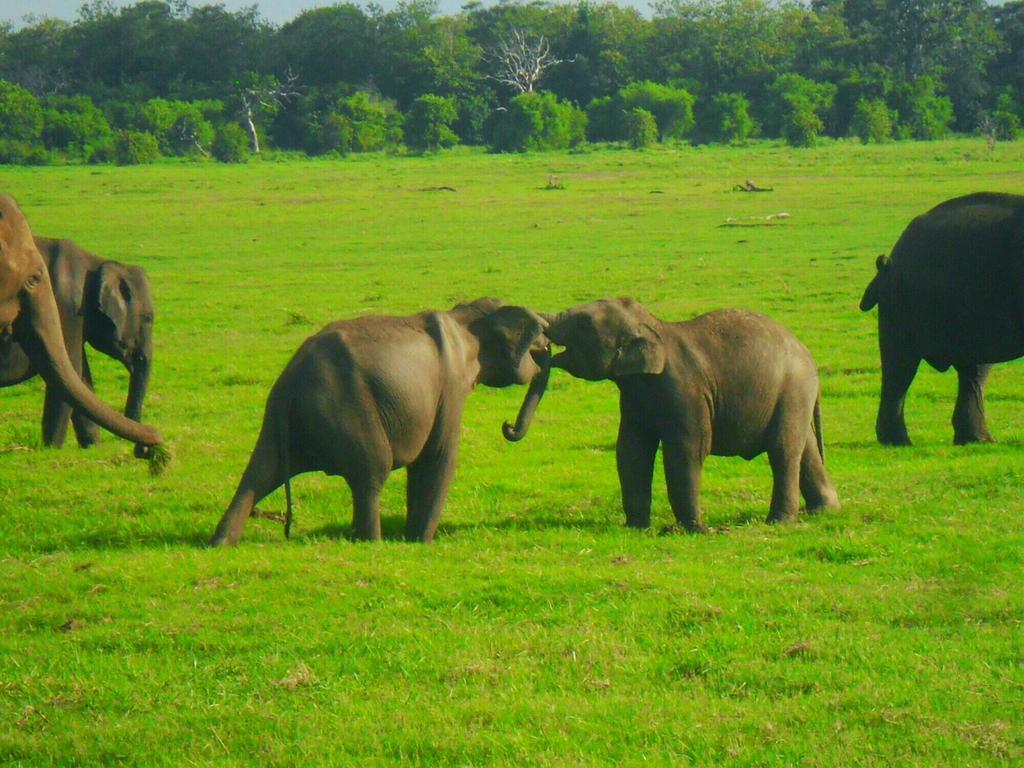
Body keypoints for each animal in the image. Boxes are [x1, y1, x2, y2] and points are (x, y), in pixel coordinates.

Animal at [0, 195, 161, 454]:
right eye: (148, 318)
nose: (146, 452)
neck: (94, 262)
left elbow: (82, 379)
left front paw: (91, 445)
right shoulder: (68, 309)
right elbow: (70, 372)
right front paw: (52, 450)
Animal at [202, 296, 548, 548]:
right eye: (539, 344)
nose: (508, 426)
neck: (467, 318)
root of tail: (289, 382)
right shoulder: (451, 384)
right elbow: (438, 458)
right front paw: (420, 543)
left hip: (280, 421)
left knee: (258, 473)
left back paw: (220, 543)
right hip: (348, 408)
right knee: (371, 472)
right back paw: (371, 542)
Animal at [512, 301, 839, 536]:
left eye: (582, 324)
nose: (508, 427)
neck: (654, 328)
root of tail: (810, 359)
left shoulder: (685, 390)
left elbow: (688, 449)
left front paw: (694, 530)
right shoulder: (634, 396)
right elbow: (631, 450)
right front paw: (636, 528)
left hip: (792, 391)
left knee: (783, 451)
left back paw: (779, 522)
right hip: (792, 398)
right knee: (806, 449)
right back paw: (824, 511)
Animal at [860, 191, 1024, 444]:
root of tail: (888, 263)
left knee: (973, 369)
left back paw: (976, 440)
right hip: (902, 302)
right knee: (900, 366)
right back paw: (899, 442)